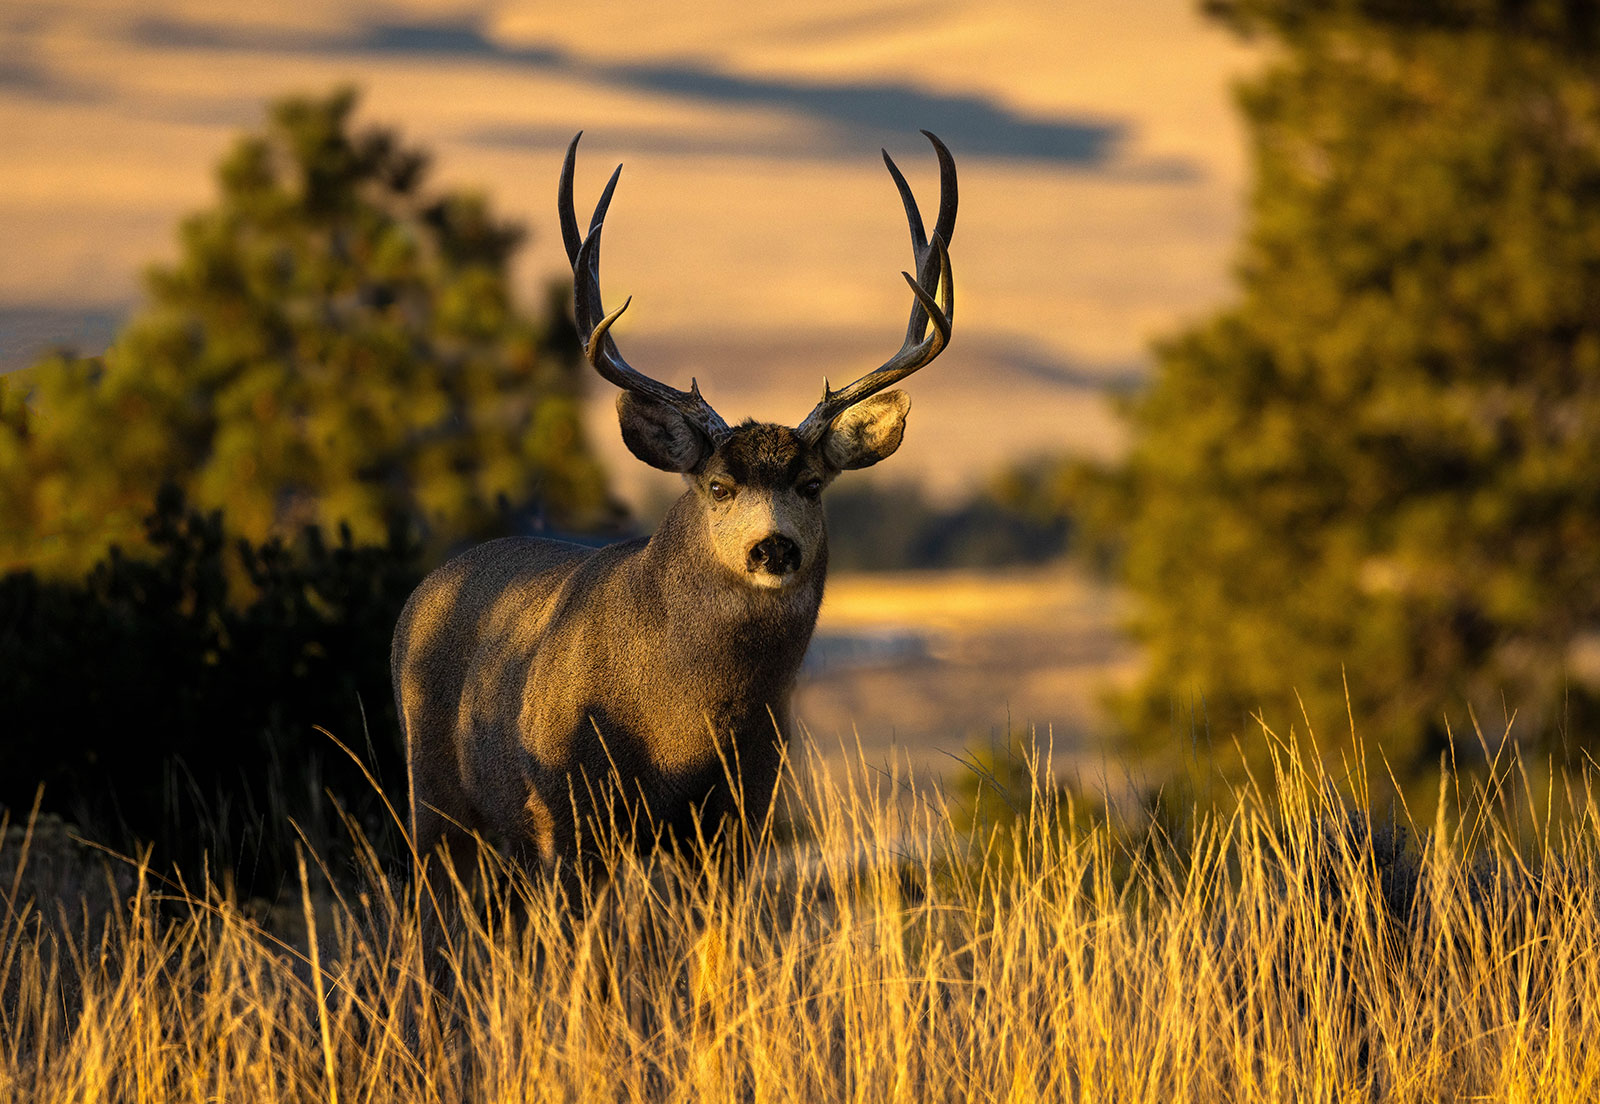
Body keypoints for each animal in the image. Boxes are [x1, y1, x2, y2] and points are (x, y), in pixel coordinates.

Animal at [390, 130, 955, 899]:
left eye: (811, 483)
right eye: (718, 486)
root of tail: (422, 592)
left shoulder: (738, 815)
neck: (683, 727)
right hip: (435, 801)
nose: (773, 549)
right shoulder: (570, 812)